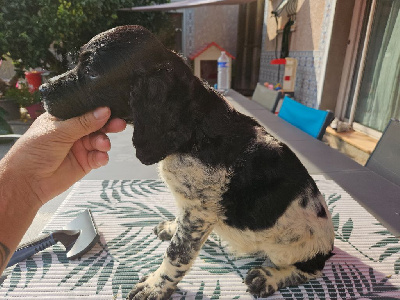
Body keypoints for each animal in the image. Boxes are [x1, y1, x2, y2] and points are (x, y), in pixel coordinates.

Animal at [40, 25, 334, 298]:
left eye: (91, 72)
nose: (42, 89)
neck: (194, 126)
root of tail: (329, 246)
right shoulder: (190, 208)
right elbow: (179, 228)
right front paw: (171, 227)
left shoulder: (199, 213)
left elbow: (176, 254)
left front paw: (156, 286)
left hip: (292, 248)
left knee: (312, 269)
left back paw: (269, 277)